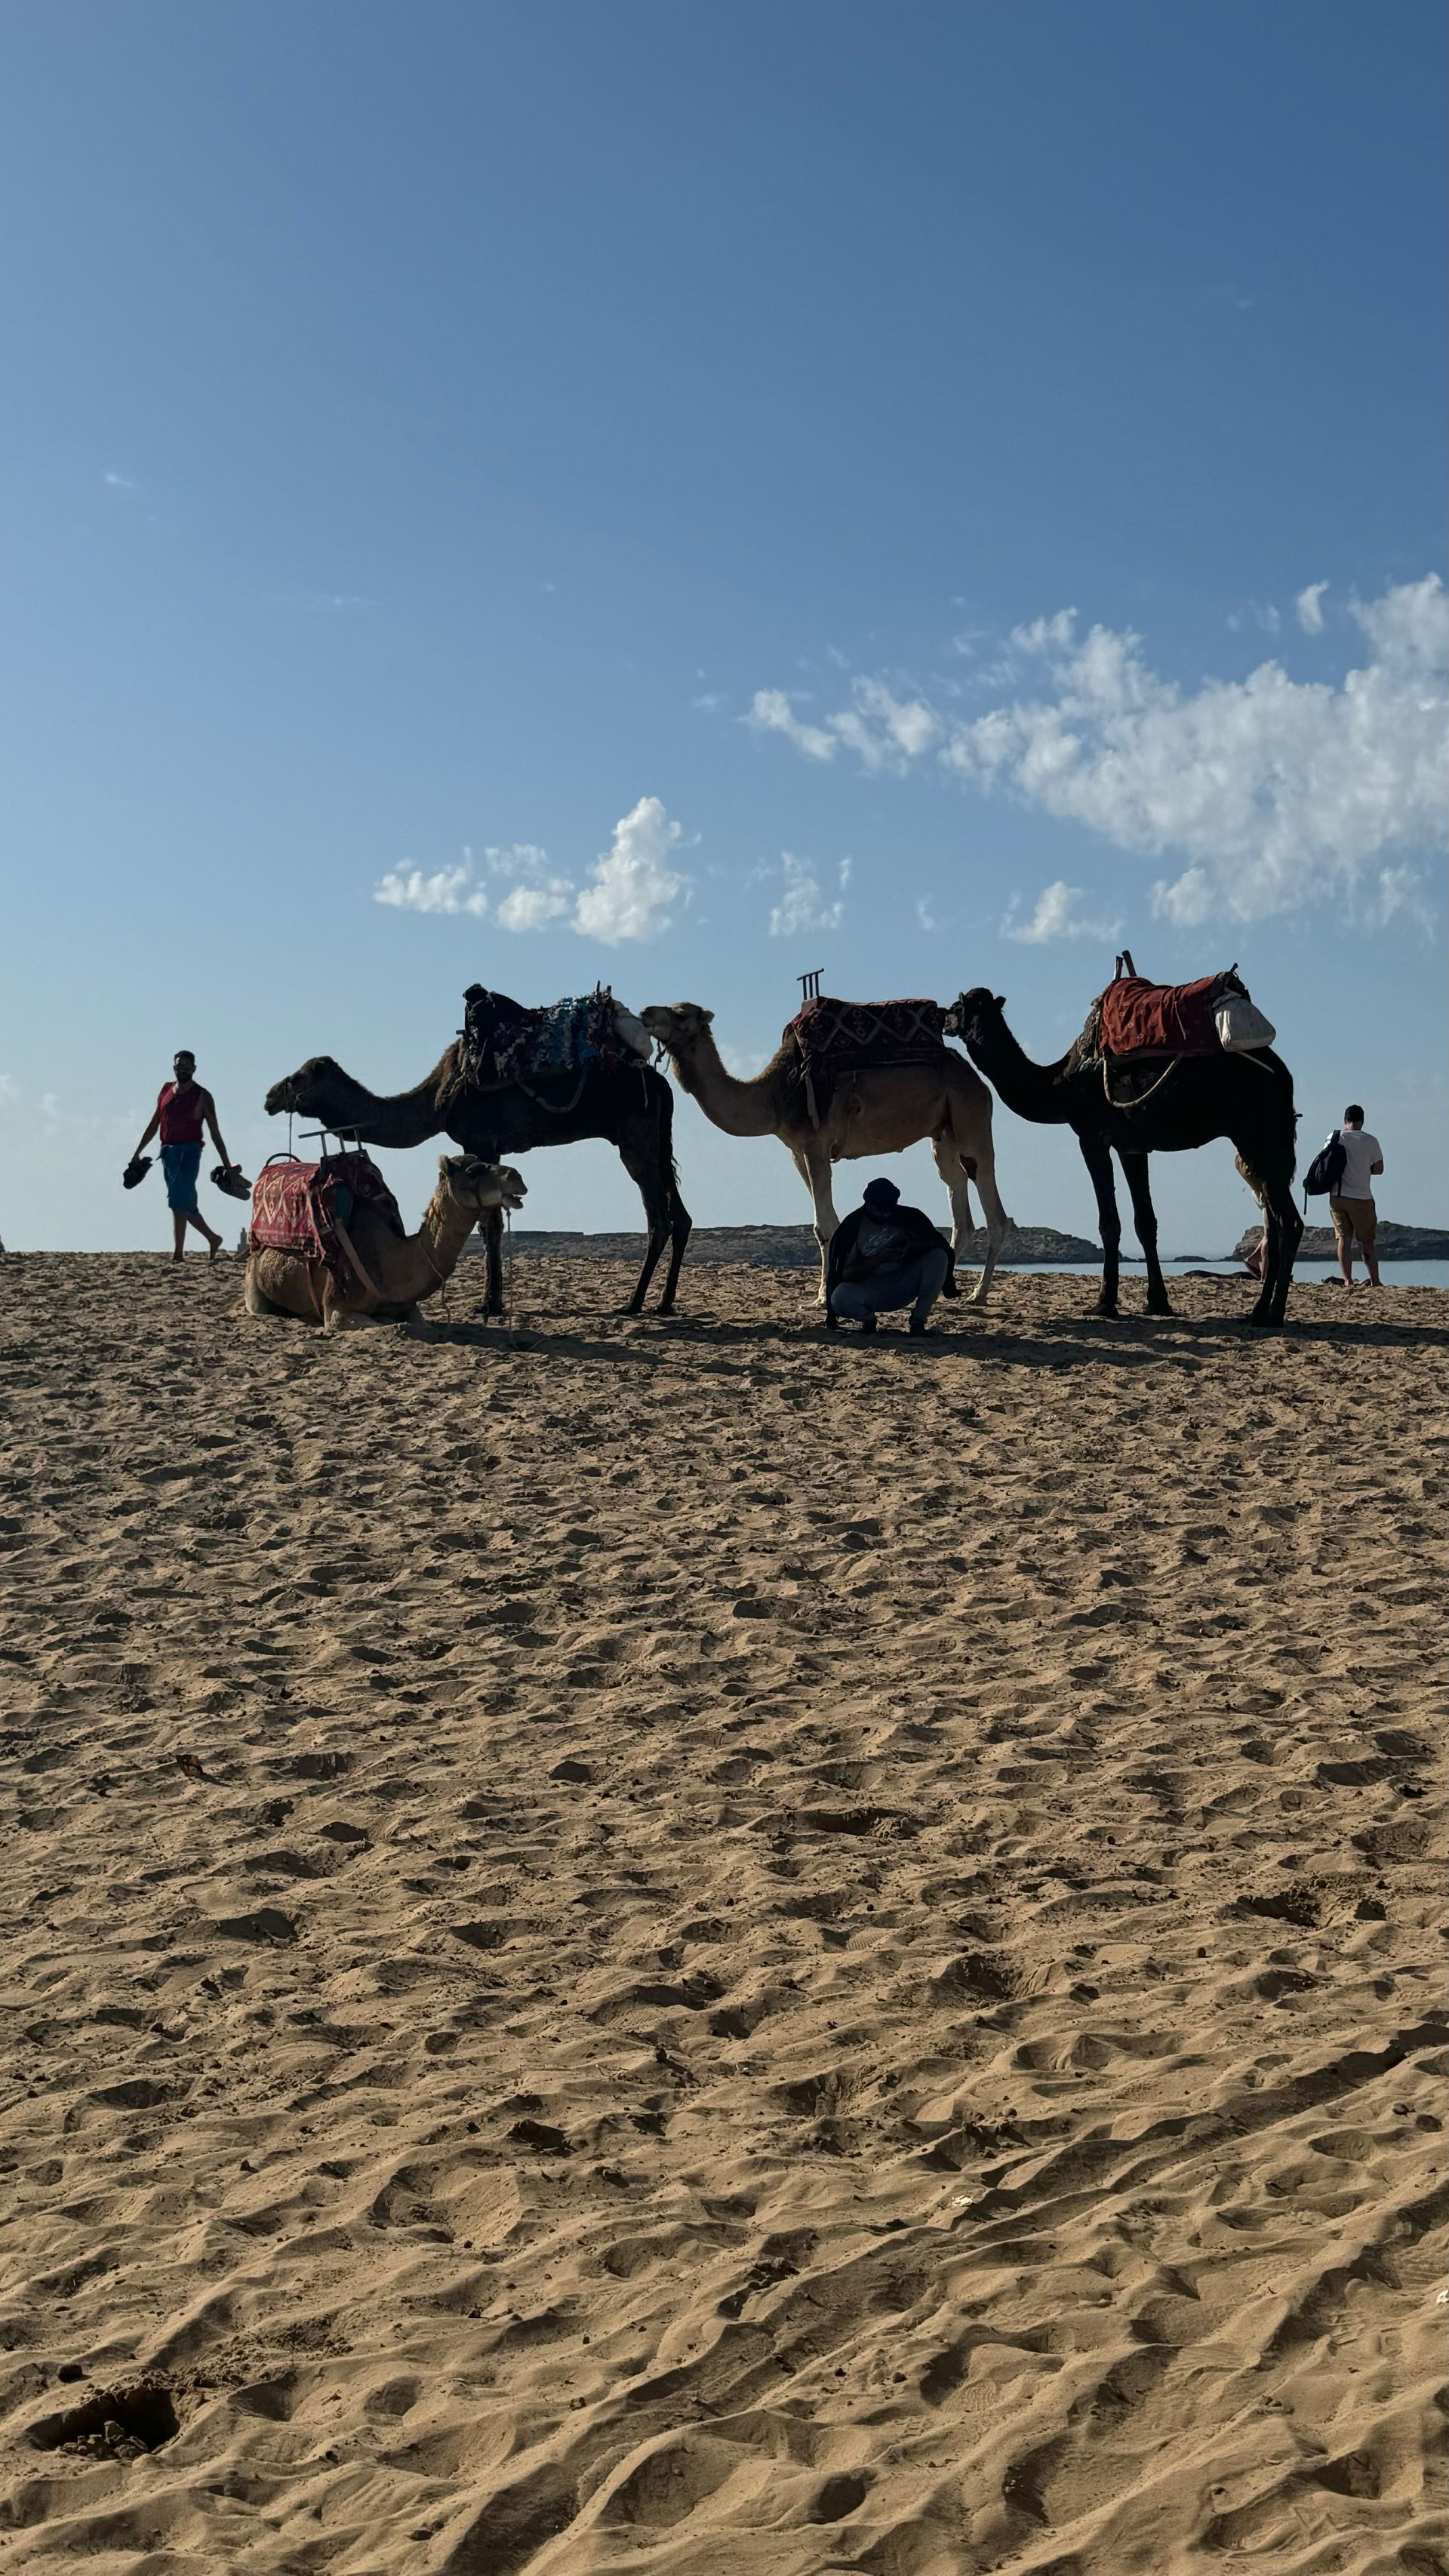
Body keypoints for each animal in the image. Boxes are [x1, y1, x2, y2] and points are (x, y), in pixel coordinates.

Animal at [244, 1152, 525, 1332]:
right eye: (472, 1171)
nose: (517, 1177)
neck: (387, 1264)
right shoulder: (335, 1308)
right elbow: (386, 1324)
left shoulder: (410, 1306)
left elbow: (416, 1323)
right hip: (254, 1289)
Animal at [263, 1032, 690, 1317]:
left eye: (299, 1077)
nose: (270, 1097)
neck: (437, 1100)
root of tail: (661, 1083)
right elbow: (491, 1224)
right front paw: (491, 1300)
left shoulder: (482, 1140)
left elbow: (490, 1226)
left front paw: (490, 1304)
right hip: (658, 1138)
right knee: (680, 1215)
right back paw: (664, 1303)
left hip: (635, 1137)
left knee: (658, 1218)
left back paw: (633, 1303)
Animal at [639, 1001, 1009, 1302]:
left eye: (681, 1014)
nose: (645, 1013)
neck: (775, 1096)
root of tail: (979, 1081)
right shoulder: (796, 1151)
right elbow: (829, 1221)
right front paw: (823, 1291)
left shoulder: (816, 1145)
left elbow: (824, 1226)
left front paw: (822, 1296)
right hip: (943, 1133)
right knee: (958, 1199)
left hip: (971, 1120)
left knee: (993, 1207)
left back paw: (978, 1294)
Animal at [947, 987, 1302, 1327]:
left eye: (957, 1005)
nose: (944, 1019)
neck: (1060, 1084)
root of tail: (1284, 1075)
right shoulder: (1132, 1146)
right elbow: (1145, 1222)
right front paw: (1157, 1303)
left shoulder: (1092, 1138)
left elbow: (1109, 1222)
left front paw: (1105, 1303)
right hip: (1261, 1139)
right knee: (1274, 1218)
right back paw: (1257, 1311)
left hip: (1255, 1133)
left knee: (1289, 1220)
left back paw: (1272, 1315)